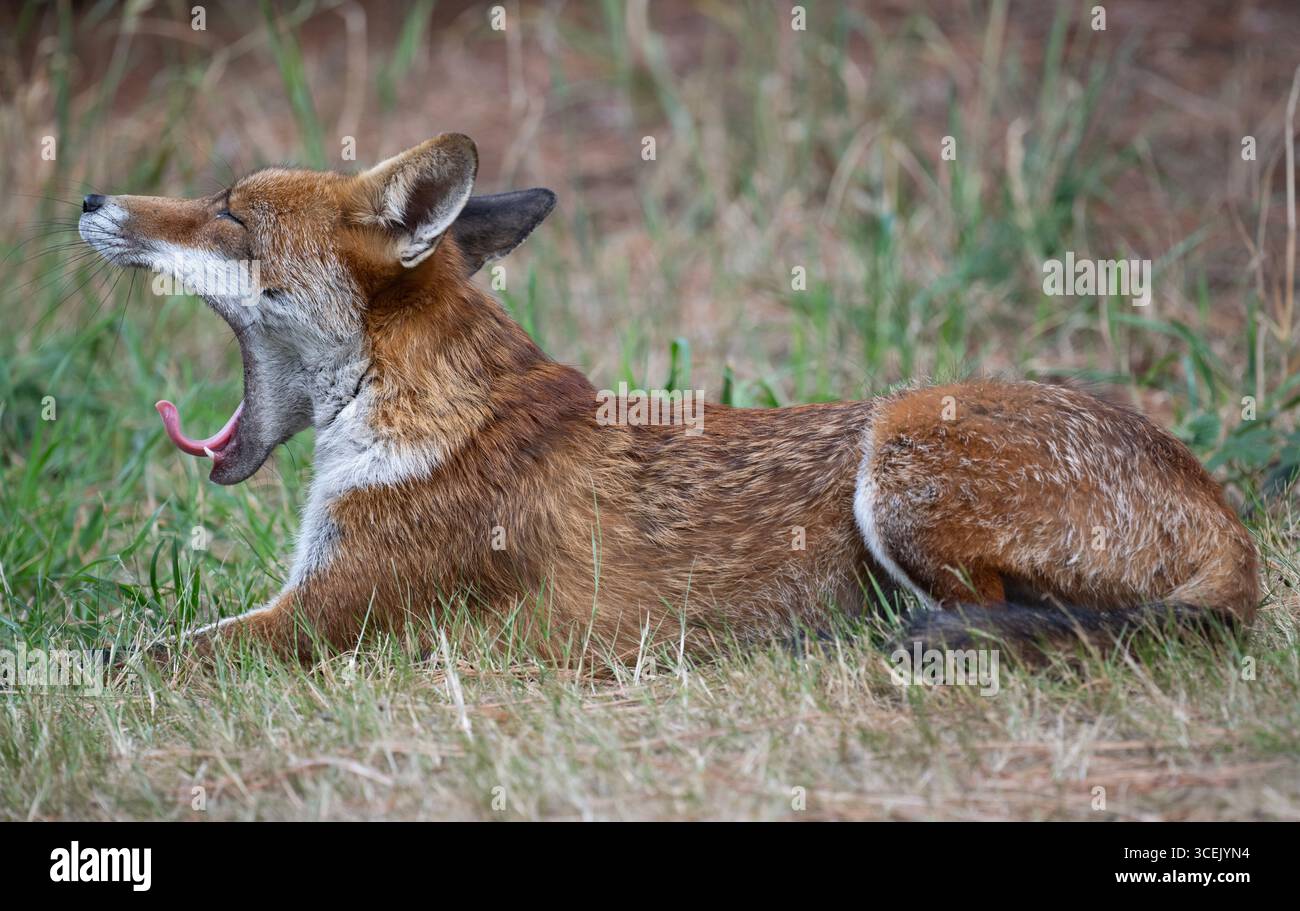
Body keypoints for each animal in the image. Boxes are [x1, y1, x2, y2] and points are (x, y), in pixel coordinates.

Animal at [77, 132, 1260, 664]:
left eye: (229, 214)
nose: (88, 198)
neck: (420, 413)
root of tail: (1222, 511)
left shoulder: (326, 615)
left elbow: (114, 660)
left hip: (903, 442)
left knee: (1011, 618)